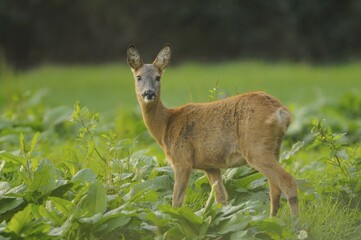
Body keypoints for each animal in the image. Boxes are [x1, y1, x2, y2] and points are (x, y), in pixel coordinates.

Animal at [126, 44, 298, 217]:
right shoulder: (210, 166)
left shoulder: (182, 159)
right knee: (274, 188)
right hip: (274, 148)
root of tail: (281, 111)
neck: (166, 124)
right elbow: (221, 199)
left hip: (256, 148)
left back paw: (295, 223)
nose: (149, 93)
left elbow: (177, 201)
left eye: (158, 77)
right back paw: (272, 220)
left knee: (287, 181)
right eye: (138, 77)